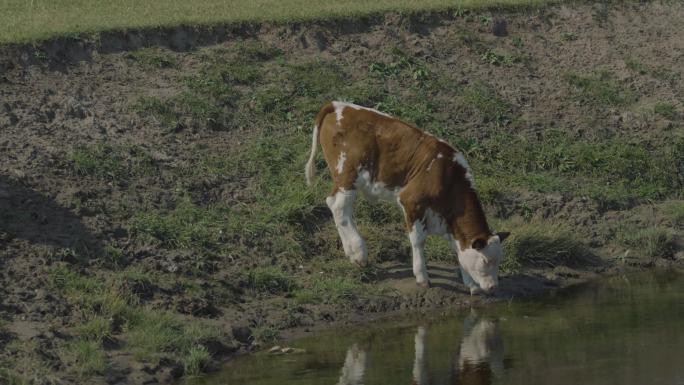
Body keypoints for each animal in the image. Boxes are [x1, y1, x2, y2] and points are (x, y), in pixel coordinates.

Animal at [304, 100, 508, 292]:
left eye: (499, 261)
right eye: (485, 261)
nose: (493, 287)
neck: (447, 175)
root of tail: (337, 105)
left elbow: (457, 247)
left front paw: (471, 284)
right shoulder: (412, 200)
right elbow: (418, 240)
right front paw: (422, 277)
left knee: (334, 204)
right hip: (348, 175)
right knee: (340, 207)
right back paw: (358, 253)